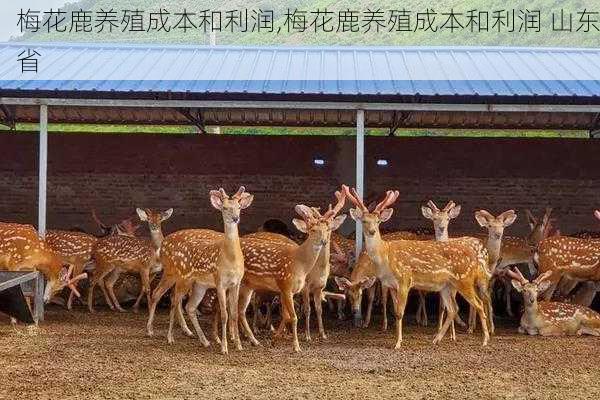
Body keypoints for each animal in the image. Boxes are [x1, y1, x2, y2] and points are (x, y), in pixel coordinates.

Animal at [146, 187, 253, 354]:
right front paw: (224, 347)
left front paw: (238, 345)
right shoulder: (220, 282)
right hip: (179, 276)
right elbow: (224, 314)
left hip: (198, 285)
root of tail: (162, 246)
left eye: (239, 207)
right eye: (224, 208)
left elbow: (234, 313)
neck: (230, 259)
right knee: (171, 299)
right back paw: (167, 336)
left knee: (188, 306)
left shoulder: (236, 283)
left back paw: (204, 341)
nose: (235, 218)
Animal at [236, 189, 346, 352]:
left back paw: (251, 338)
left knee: (240, 309)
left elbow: (312, 310)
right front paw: (300, 342)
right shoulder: (291, 286)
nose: (324, 241)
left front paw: (321, 334)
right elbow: (299, 313)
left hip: (248, 286)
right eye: (312, 230)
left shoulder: (313, 288)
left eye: (329, 228)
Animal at [340, 188, 490, 346]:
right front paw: (396, 338)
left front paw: (398, 343)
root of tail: (474, 257)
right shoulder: (391, 284)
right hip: (446, 285)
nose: (372, 231)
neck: (385, 256)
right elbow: (395, 310)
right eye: (364, 221)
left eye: (378, 221)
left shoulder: (404, 279)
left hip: (464, 279)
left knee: (479, 304)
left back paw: (484, 340)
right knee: (453, 309)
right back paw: (436, 339)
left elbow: (400, 313)